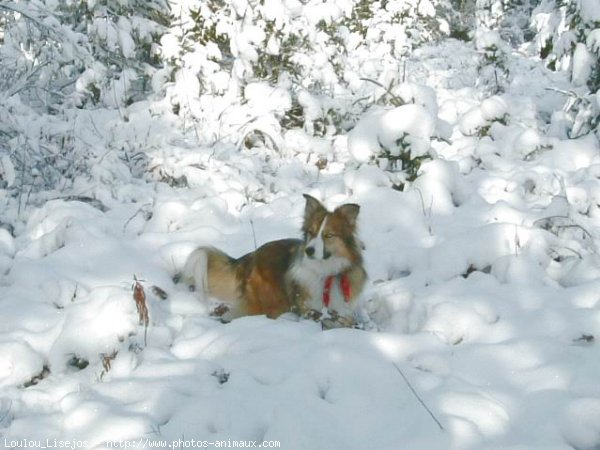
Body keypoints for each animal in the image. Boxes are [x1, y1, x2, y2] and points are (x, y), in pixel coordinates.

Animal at [182, 195, 366, 326]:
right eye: (311, 232)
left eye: (328, 235)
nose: (309, 250)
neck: (326, 272)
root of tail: (252, 256)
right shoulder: (306, 310)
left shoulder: (344, 314)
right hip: (270, 302)